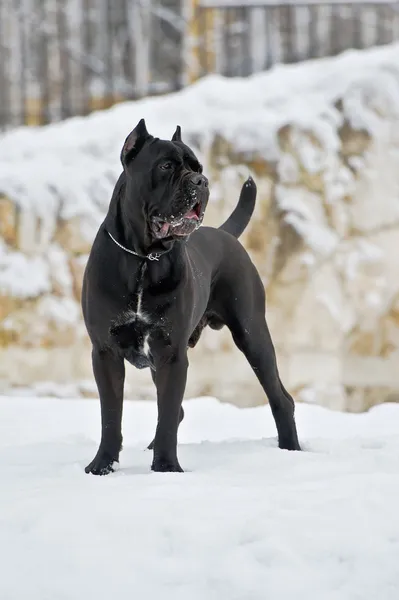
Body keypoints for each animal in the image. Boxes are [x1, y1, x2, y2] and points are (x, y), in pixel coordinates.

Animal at [82, 119, 300, 476]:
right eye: (166, 166)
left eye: (197, 167)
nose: (201, 181)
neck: (144, 258)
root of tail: (224, 233)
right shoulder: (106, 351)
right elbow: (111, 416)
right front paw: (102, 465)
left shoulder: (171, 354)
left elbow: (168, 414)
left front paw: (167, 468)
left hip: (252, 334)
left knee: (281, 399)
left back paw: (291, 451)